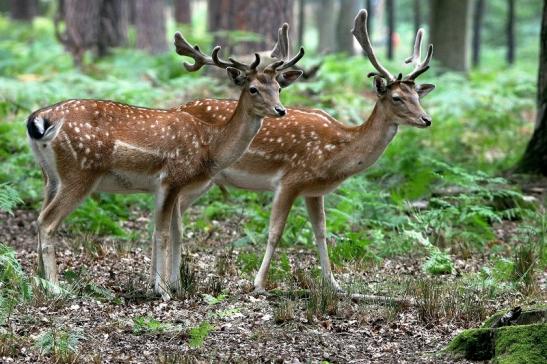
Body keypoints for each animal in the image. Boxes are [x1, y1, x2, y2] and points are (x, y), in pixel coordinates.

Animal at [26, 29, 304, 296]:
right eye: (253, 88)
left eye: (278, 88)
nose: (280, 110)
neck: (209, 146)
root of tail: (40, 118)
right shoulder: (171, 178)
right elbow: (162, 233)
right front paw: (162, 290)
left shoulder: (173, 187)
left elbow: (176, 232)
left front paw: (174, 285)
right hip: (80, 171)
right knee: (47, 222)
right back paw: (56, 288)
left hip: (49, 176)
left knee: (39, 218)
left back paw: (39, 281)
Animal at [180, 9, 436, 292]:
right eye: (397, 98)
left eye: (417, 96)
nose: (426, 120)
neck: (337, 154)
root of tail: (180, 107)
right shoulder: (289, 180)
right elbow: (275, 232)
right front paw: (258, 283)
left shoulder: (314, 190)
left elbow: (321, 232)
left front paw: (333, 283)